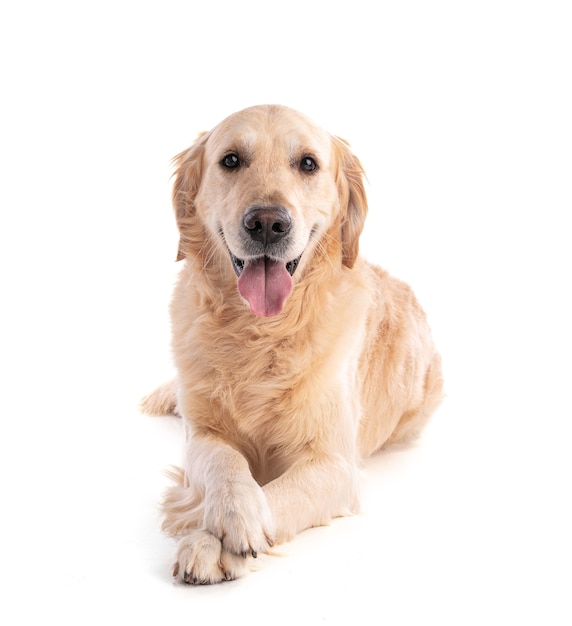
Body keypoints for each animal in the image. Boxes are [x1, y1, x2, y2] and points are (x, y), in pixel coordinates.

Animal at [141, 105, 444, 584]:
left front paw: (217, 542)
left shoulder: (334, 463)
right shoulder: (201, 434)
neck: (259, 331)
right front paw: (232, 516)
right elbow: (225, 464)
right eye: (230, 160)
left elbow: (280, 495)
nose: (267, 223)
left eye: (307, 163)